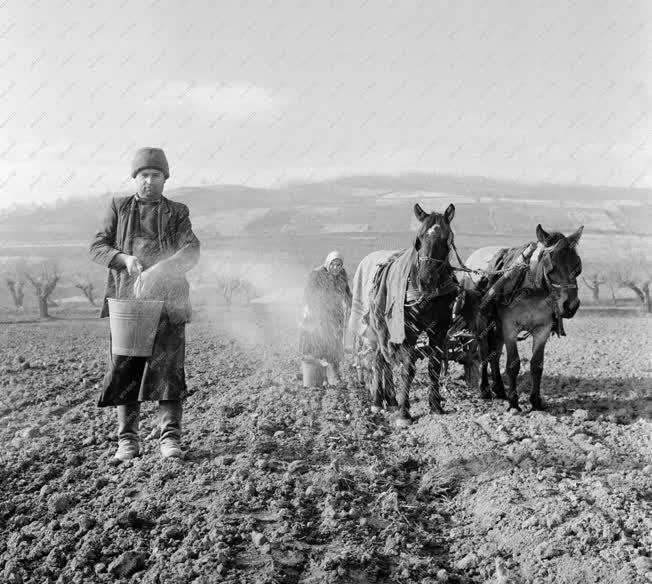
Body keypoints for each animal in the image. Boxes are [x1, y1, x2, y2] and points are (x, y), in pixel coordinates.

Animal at [346, 203, 458, 426]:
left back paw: (390, 399)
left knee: (384, 359)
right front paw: (404, 413)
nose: (426, 279)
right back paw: (377, 400)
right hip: (375, 327)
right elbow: (408, 368)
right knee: (377, 361)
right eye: (419, 238)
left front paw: (436, 406)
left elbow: (434, 366)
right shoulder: (407, 329)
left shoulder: (440, 329)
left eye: (446, 239)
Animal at [458, 224, 584, 410]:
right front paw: (514, 403)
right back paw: (485, 390)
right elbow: (513, 364)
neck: (532, 292)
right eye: (551, 265)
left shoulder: (542, 329)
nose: (571, 306)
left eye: (577, 265)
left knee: (495, 354)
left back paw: (499, 390)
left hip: (497, 326)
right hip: (482, 323)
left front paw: (536, 402)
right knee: (484, 353)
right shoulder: (510, 327)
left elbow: (537, 364)